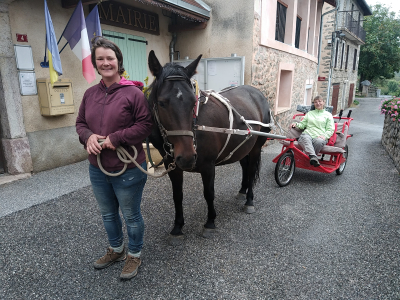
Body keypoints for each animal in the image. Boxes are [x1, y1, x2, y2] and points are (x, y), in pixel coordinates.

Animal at [148, 51, 272, 244]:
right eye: (161, 103)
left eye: (193, 102)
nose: (187, 157)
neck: (196, 126)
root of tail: (257, 94)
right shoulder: (173, 166)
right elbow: (177, 195)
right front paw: (177, 227)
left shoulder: (208, 166)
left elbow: (209, 193)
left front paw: (210, 222)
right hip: (242, 148)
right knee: (245, 168)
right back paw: (242, 191)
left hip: (255, 148)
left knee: (251, 171)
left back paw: (249, 200)